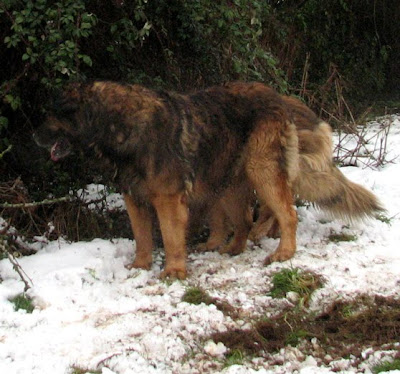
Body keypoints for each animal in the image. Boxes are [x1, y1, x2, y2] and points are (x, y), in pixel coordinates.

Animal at [35, 81, 300, 278]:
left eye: (53, 114)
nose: (33, 136)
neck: (120, 125)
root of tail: (276, 96)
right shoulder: (134, 199)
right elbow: (142, 237)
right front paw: (140, 266)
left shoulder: (167, 200)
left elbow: (170, 237)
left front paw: (173, 271)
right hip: (228, 183)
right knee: (244, 219)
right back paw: (234, 248)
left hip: (262, 171)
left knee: (288, 214)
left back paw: (284, 253)